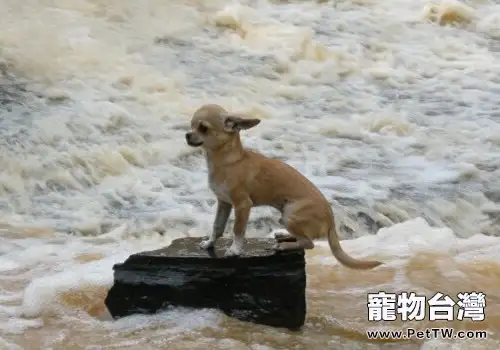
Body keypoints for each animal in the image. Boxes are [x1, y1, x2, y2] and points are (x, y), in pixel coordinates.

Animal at [185, 102, 382, 270]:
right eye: (191, 125)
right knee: (306, 238)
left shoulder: (242, 205)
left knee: (309, 243)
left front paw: (235, 250)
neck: (226, 161)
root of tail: (331, 221)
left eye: (203, 128)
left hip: (289, 214)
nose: (187, 134)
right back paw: (286, 237)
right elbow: (217, 227)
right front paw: (209, 243)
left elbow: (238, 230)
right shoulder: (223, 203)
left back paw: (286, 245)